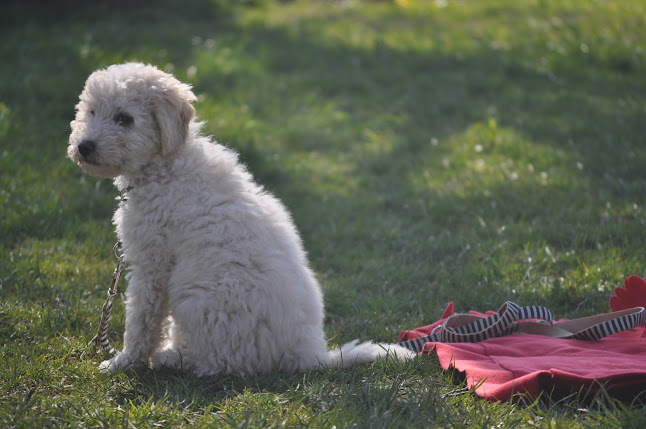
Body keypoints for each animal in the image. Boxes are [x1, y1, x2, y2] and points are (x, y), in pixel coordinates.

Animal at [68, 62, 416, 374]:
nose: (84, 146)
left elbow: (141, 320)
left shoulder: (152, 265)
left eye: (125, 118)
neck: (167, 164)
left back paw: (172, 358)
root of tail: (310, 355)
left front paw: (125, 362)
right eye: (91, 112)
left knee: (222, 362)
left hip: (198, 300)